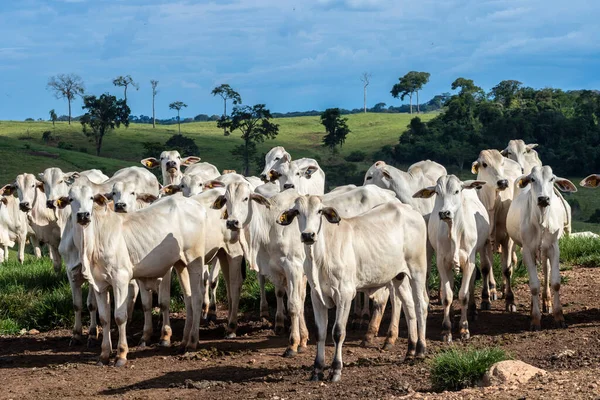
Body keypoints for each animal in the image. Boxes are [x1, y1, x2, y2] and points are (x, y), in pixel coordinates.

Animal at [58, 185, 209, 366]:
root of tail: (196, 205)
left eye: (91, 198)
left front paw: (121, 354)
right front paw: (104, 354)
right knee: (188, 298)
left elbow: (119, 317)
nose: (83, 215)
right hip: (180, 263)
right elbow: (104, 318)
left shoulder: (120, 279)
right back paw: (184, 341)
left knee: (197, 298)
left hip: (194, 259)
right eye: (71, 199)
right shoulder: (99, 285)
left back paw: (192, 342)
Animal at [274, 195, 428, 382]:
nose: (308, 235)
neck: (319, 257)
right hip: (399, 276)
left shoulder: (344, 294)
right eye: (297, 211)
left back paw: (420, 350)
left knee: (421, 305)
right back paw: (410, 350)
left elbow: (338, 332)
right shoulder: (317, 297)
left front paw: (335, 370)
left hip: (417, 269)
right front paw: (317, 369)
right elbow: (320, 332)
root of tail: (411, 210)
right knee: (409, 306)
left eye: (319, 211)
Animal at [414, 177, 490, 342]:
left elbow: (463, 295)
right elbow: (447, 296)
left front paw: (464, 329)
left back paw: (473, 310)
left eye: (456, 191)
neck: (454, 230)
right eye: (437, 192)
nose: (444, 213)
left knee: (472, 282)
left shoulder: (469, 261)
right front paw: (446, 329)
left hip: (482, 248)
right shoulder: (442, 262)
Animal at [472, 151, 524, 312]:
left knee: (508, 261)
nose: (503, 182)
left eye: (502, 163)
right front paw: (485, 298)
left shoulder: (508, 239)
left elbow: (507, 269)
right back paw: (493, 288)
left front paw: (510, 300)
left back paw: (503, 288)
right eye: (484, 164)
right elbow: (485, 267)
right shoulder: (483, 240)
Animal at [506, 167, 576, 330]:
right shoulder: (527, 250)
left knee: (546, 270)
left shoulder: (554, 247)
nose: (543, 199)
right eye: (532, 179)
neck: (541, 221)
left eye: (552, 179)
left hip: (544, 251)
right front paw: (535, 319)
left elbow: (555, 282)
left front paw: (559, 316)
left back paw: (546, 301)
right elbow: (533, 285)